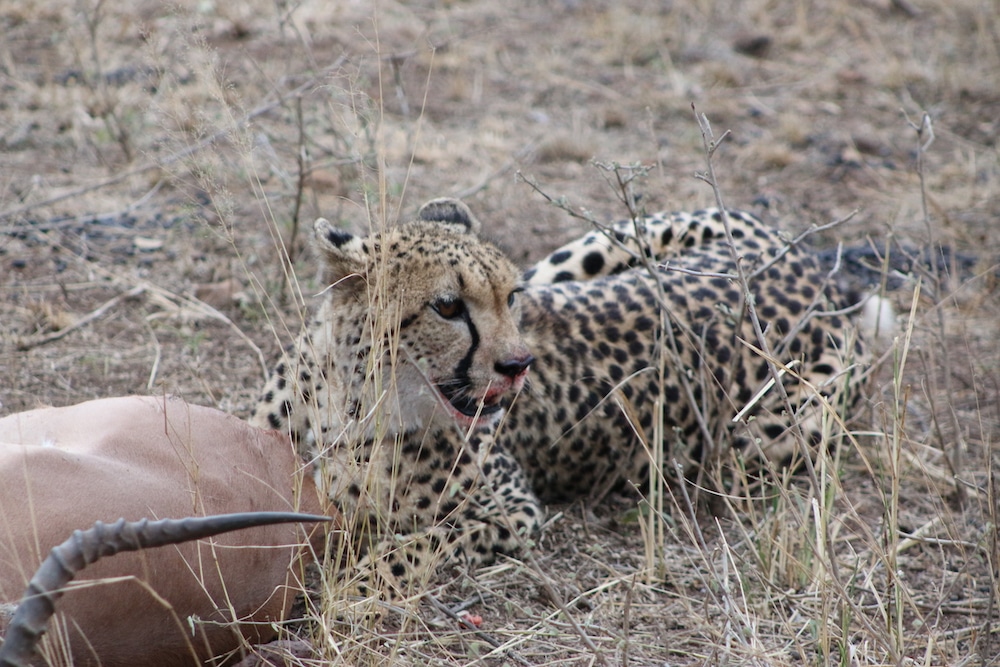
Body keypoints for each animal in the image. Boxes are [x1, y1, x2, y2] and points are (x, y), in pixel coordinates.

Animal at [252, 198, 868, 596]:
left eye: (510, 297)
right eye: (447, 306)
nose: (518, 365)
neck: (355, 402)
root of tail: (816, 274)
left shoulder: (514, 510)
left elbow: (419, 545)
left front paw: (357, 582)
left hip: (771, 436)